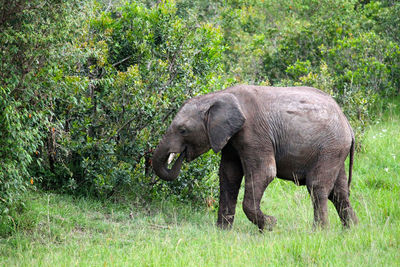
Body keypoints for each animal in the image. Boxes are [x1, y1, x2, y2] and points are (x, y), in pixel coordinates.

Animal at [152, 86, 358, 232]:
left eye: (183, 130)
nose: (180, 156)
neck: (219, 96)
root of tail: (348, 123)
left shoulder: (254, 133)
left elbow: (265, 172)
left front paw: (271, 224)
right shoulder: (231, 139)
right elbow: (228, 176)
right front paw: (222, 232)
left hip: (330, 147)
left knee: (318, 188)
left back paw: (319, 232)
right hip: (335, 150)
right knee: (338, 193)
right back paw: (351, 231)